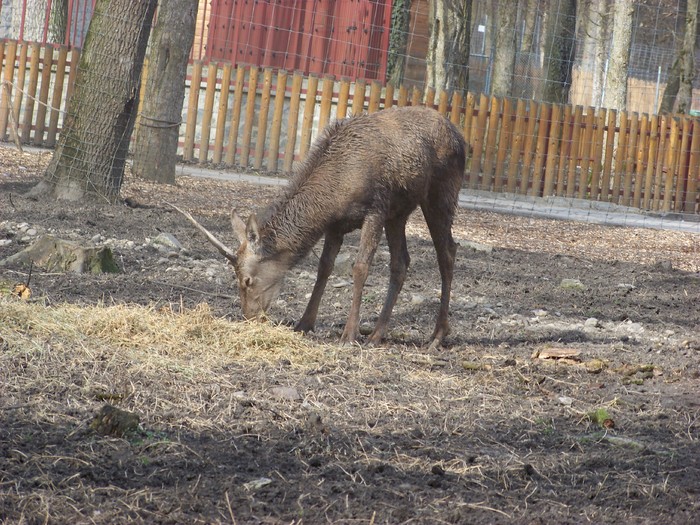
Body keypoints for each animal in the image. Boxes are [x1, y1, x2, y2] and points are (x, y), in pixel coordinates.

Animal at [170, 105, 464, 348]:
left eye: (247, 280)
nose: (249, 317)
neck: (333, 193)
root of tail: (461, 137)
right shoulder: (336, 224)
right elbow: (324, 267)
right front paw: (304, 323)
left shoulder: (375, 209)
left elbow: (360, 268)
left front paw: (348, 334)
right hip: (399, 213)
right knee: (401, 262)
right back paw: (377, 334)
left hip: (440, 194)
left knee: (448, 252)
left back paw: (437, 335)